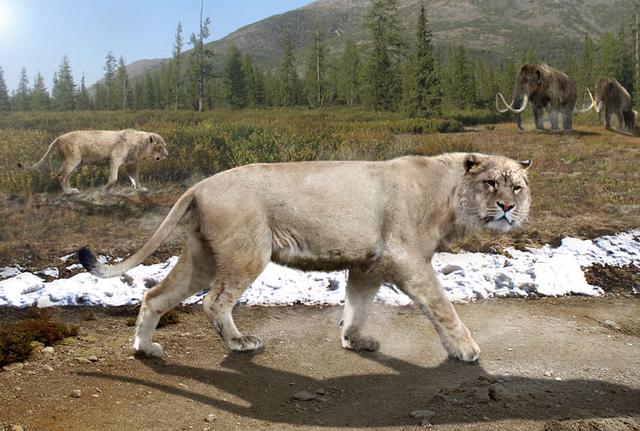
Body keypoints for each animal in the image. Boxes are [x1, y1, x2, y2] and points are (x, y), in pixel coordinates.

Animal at [19, 129, 170, 195]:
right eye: (160, 147)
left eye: (164, 146)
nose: (167, 155)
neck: (141, 145)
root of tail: (59, 137)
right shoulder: (115, 158)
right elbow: (114, 178)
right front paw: (105, 189)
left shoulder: (131, 164)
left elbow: (135, 177)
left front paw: (140, 188)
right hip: (73, 160)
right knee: (61, 175)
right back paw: (68, 192)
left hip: (76, 163)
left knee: (66, 176)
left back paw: (72, 190)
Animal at [79, 154, 528, 362]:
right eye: (491, 183)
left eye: (518, 186)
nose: (508, 207)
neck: (450, 194)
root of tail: (200, 185)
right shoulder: (408, 259)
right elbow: (442, 306)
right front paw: (466, 349)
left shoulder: (369, 263)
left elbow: (358, 305)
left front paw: (355, 340)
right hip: (247, 250)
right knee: (215, 302)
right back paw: (240, 343)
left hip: (202, 258)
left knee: (154, 295)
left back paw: (145, 348)